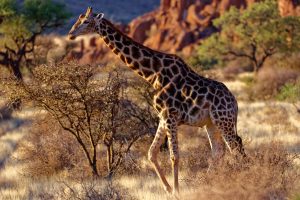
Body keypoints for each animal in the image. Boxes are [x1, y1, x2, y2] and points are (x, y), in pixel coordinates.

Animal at [68, 7, 246, 194]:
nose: (71, 34)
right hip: (211, 123)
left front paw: (176, 191)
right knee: (219, 151)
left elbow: (174, 156)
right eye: (79, 19)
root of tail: (235, 102)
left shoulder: (170, 116)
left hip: (223, 120)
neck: (152, 73)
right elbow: (151, 153)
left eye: (86, 21)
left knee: (236, 149)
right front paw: (168, 189)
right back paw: (208, 183)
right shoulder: (162, 117)